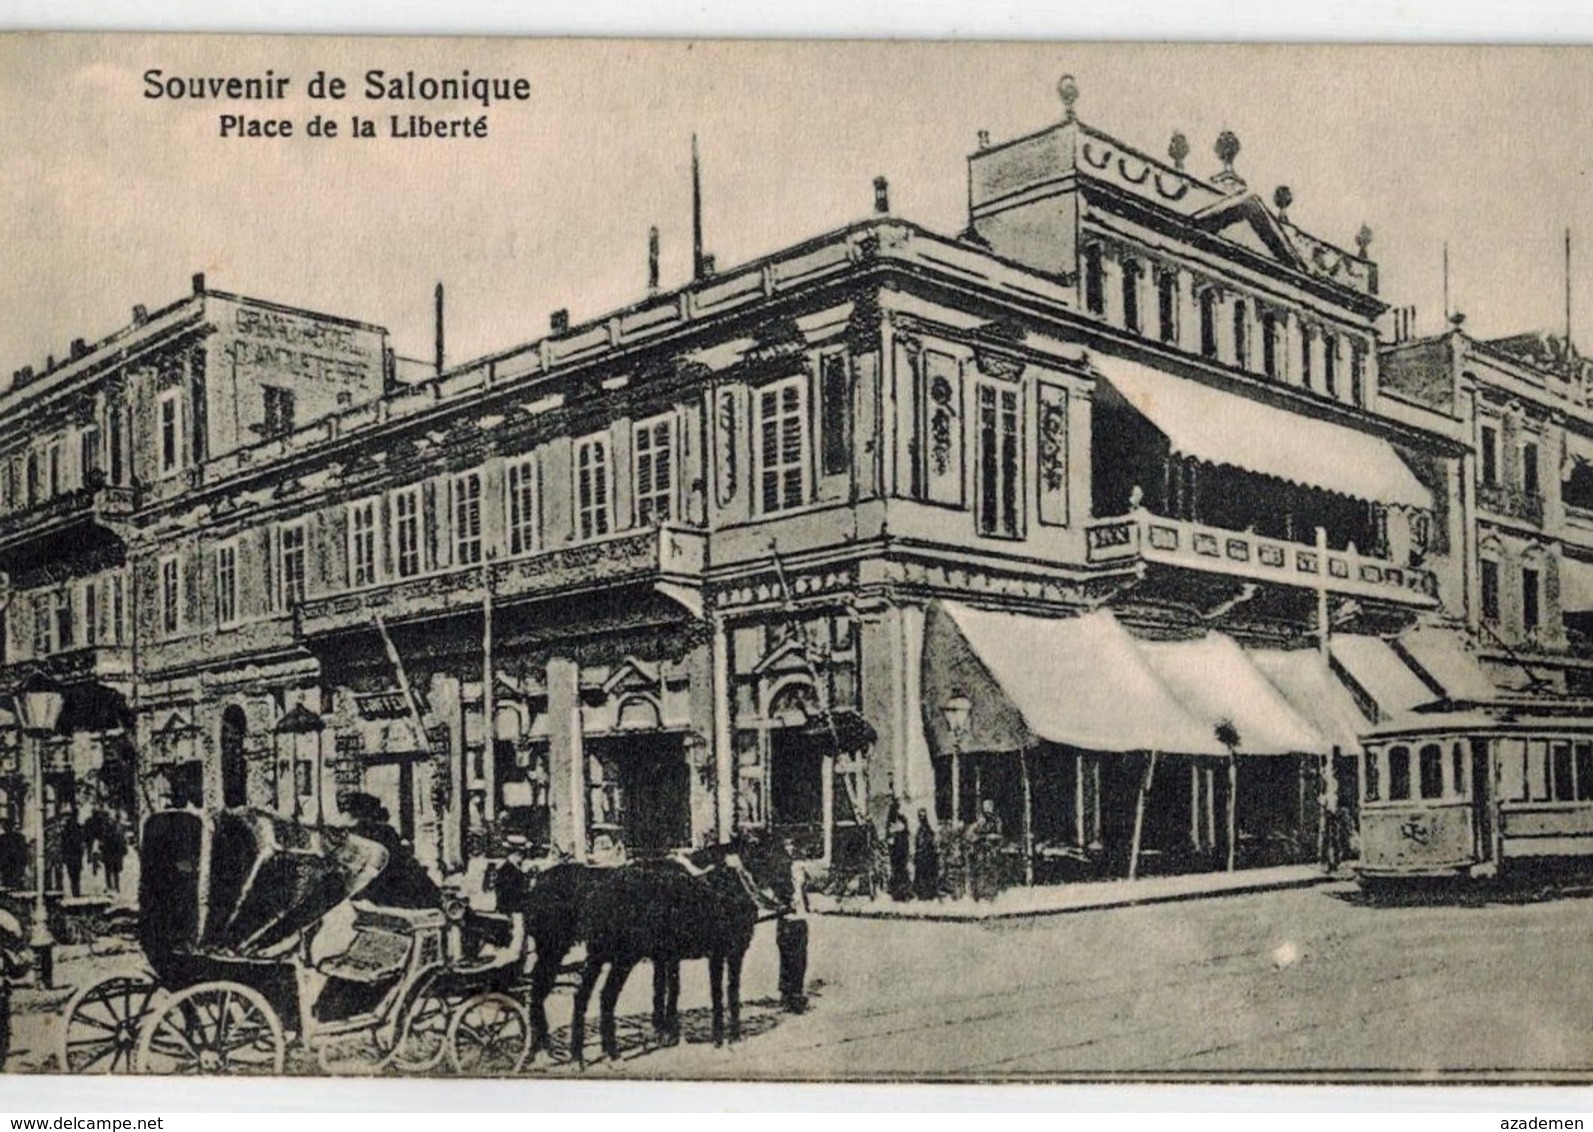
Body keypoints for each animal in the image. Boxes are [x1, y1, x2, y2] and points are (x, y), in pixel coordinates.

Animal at [519, 834, 786, 1069]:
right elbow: (709, 993)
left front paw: (670, 1031)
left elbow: (675, 988)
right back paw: (603, 1054)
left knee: (567, 995)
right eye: (770, 857)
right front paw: (710, 1038)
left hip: (583, 955)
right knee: (599, 996)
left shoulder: (678, 954)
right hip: (605, 955)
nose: (787, 899)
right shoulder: (714, 953)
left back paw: (564, 1053)